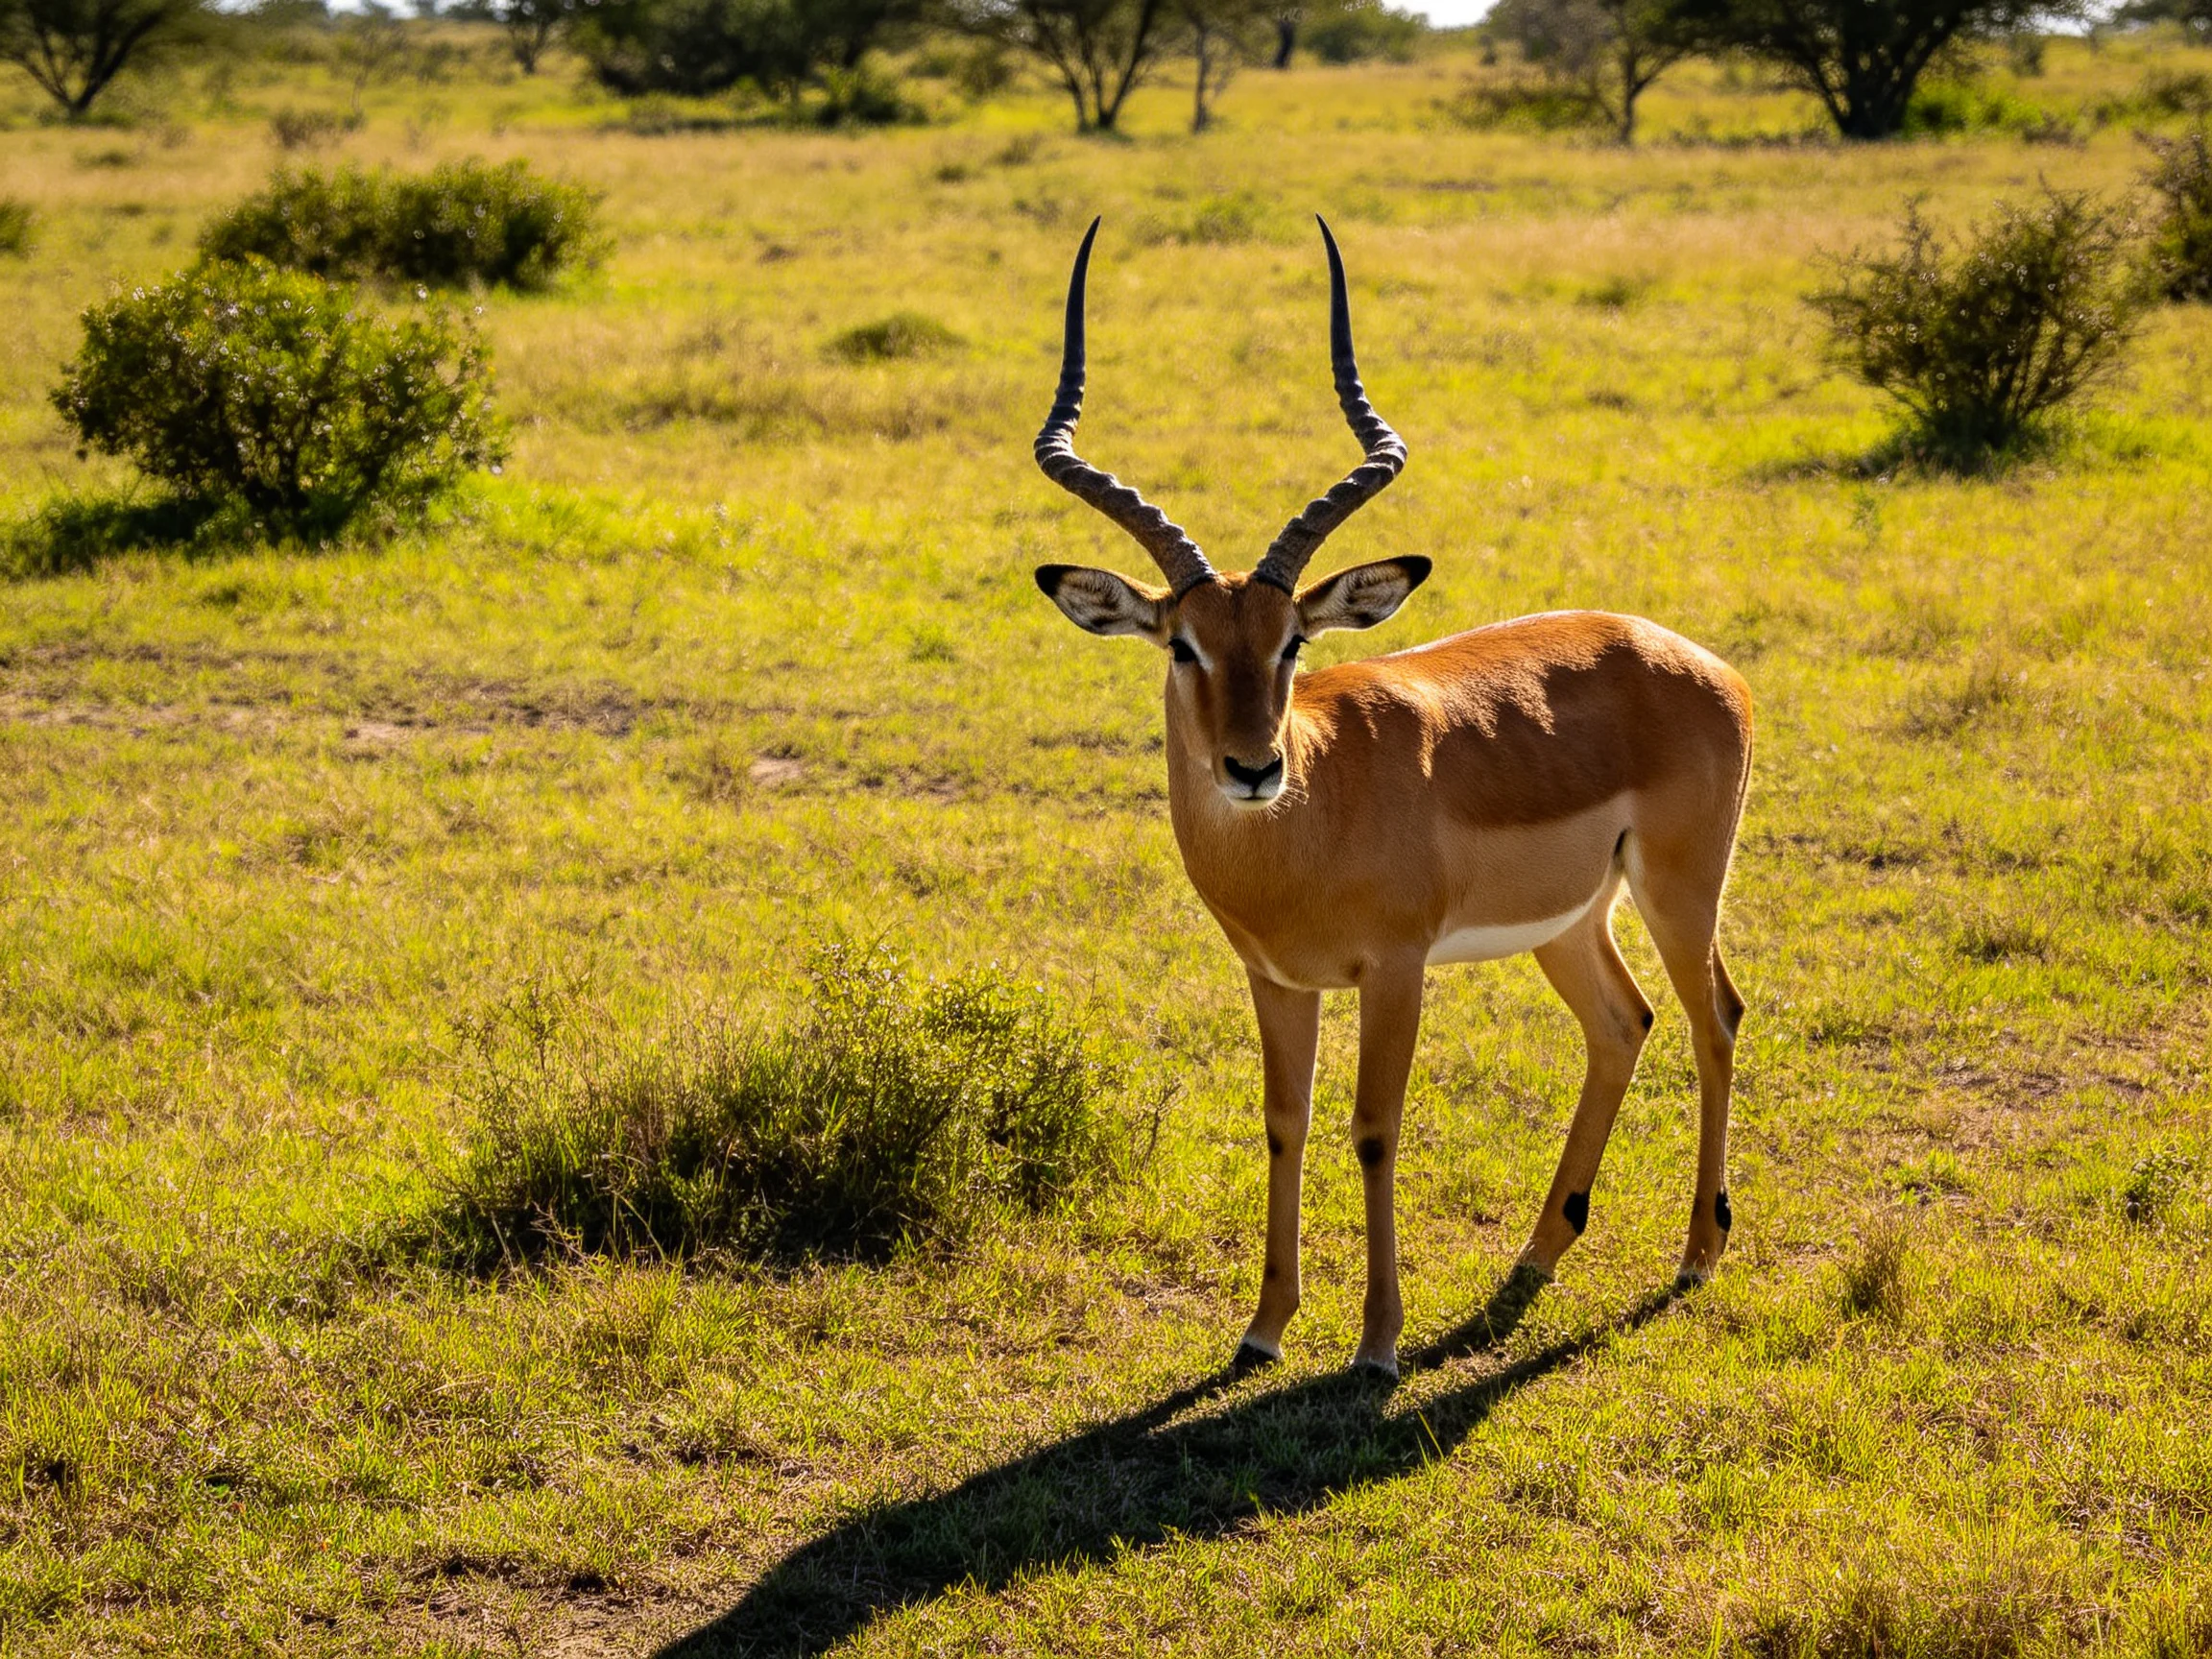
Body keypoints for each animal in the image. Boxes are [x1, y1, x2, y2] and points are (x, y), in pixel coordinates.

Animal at [1031, 219, 1754, 1379]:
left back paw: (1694, 1256)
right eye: (1184, 645)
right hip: (1572, 921)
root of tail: (1696, 658)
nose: (1252, 768)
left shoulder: (1397, 970)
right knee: (1623, 1023)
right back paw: (1534, 1257)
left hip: (1679, 890)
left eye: (1293, 641)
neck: (1309, 821)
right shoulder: (1277, 980)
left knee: (1713, 1016)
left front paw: (1377, 1343)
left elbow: (1376, 1127)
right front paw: (1263, 1329)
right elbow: (1286, 1119)